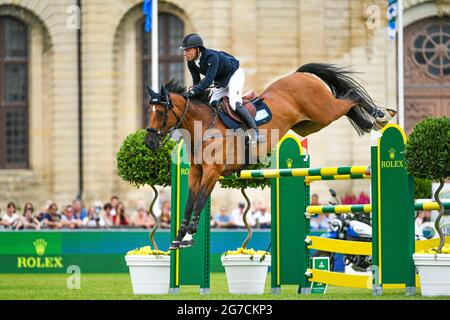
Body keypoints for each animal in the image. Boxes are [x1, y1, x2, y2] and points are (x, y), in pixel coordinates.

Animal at [143, 62, 394, 249]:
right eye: (149, 112)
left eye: (161, 112)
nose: (149, 143)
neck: (204, 126)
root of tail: (299, 75)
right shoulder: (196, 173)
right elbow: (189, 203)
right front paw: (179, 237)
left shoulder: (212, 172)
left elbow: (201, 200)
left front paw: (189, 236)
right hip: (312, 124)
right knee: (347, 105)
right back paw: (369, 122)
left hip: (323, 111)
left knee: (350, 96)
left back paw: (380, 115)